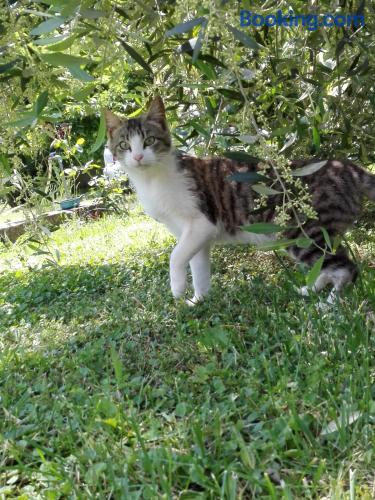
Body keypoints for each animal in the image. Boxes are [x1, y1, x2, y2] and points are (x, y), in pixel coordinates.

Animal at [105, 95, 375, 302]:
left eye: (149, 140)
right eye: (125, 145)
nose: (138, 157)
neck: (152, 179)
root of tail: (347, 167)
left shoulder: (201, 223)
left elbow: (176, 256)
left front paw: (178, 289)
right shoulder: (195, 235)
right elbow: (198, 267)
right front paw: (199, 300)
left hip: (306, 232)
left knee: (346, 268)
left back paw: (329, 305)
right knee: (328, 266)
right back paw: (310, 290)